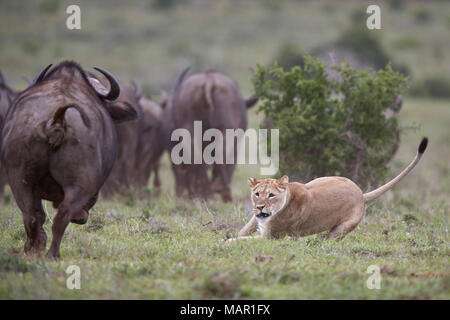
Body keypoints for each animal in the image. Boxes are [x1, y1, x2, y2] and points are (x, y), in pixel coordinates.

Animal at [0, 62, 137, 258]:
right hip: (81, 184)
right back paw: (53, 253)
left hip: (19, 179)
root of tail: (56, 122)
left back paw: (34, 249)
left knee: (32, 215)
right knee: (62, 216)